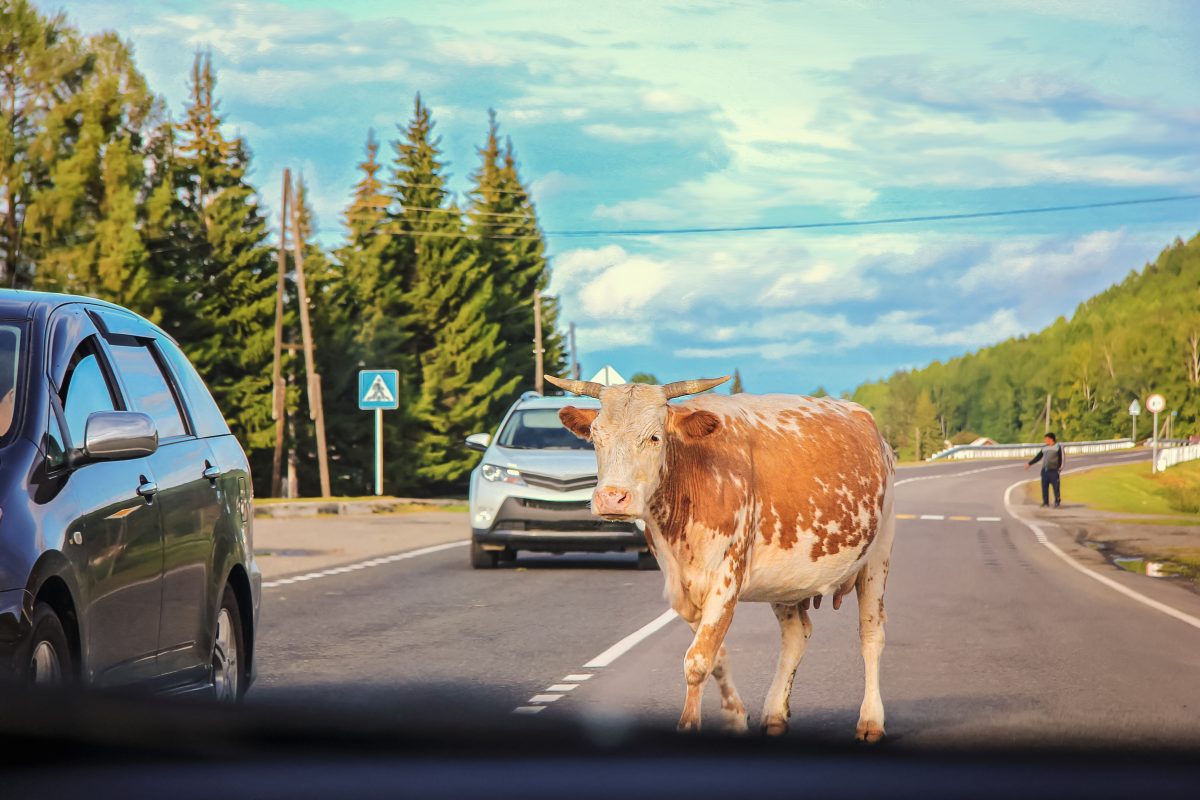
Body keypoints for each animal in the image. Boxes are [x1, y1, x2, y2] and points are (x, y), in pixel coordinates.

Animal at [549, 376, 897, 743]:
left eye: (654, 437)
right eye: (596, 437)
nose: (612, 498)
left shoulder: (725, 580)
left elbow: (697, 660)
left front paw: (689, 724)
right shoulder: (681, 589)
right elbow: (716, 657)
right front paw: (735, 717)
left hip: (878, 556)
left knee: (871, 635)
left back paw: (870, 721)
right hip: (787, 578)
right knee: (796, 635)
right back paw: (775, 714)